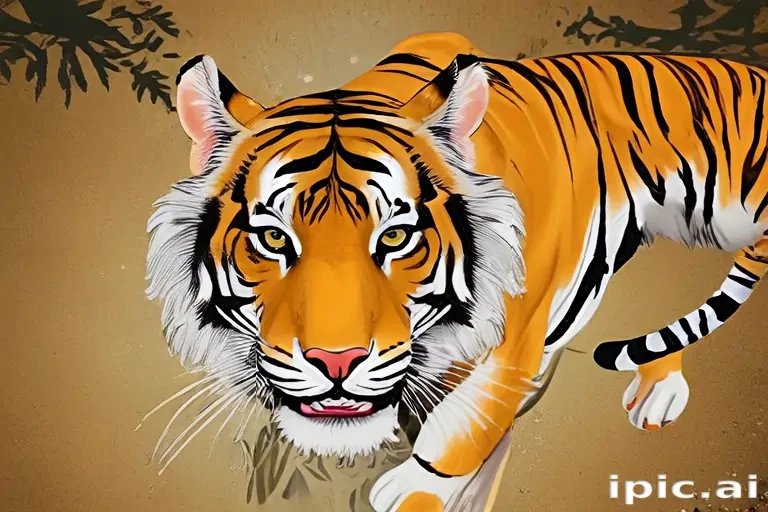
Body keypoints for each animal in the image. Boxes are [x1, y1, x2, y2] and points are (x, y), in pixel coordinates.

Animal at [145, 31, 768, 512]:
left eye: (395, 237)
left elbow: (460, 430)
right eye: (273, 237)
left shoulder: (514, 343)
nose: (337, 362)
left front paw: (417, 486)